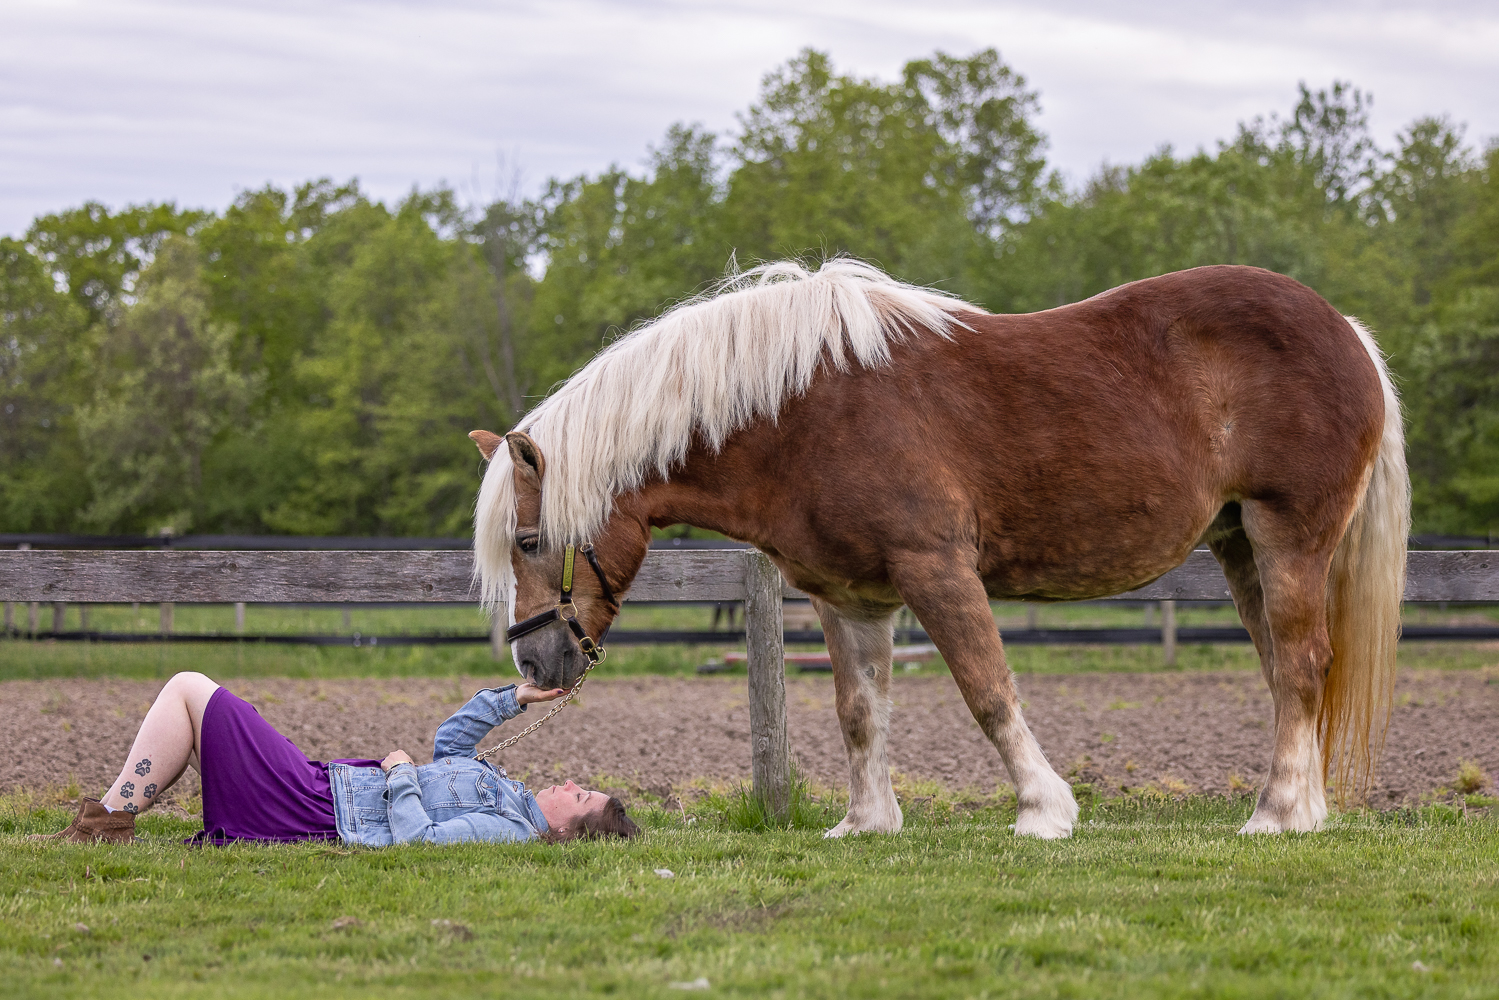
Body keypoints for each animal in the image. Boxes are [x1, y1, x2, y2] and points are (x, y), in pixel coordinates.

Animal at [470, 259, 1408, 838]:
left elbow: (987, 691)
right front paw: (865, 822)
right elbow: (859, 712)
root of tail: (1347, 331)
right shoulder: (848, 597)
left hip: (1287, 536)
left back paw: (1277, 812)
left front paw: (1042, 810)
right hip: (1240, 546)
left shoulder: (937, 569)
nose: (534, 667)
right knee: (1290, 669)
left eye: (529, 539)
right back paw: (1300, 807)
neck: (799, 411)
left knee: (1299, 663)